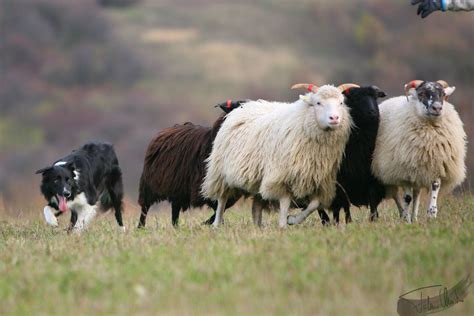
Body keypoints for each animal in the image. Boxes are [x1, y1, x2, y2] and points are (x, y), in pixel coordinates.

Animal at [201, 84, 356, 227]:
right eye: (318, 103)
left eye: (341, 103)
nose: (334, 118)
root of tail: (244, 106)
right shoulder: (281, 175)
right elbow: (285, 201)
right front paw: (282, 224)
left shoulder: (317, 180)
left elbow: (314, 204)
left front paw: (292, 220)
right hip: (220, 172)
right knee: (222, 199)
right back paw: (216, 224)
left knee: (256, 205)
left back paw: (258, 226)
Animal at [370, 79, 466, 222]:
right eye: (421, 94)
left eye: (443, 94)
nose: (437, 108)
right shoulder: (404, 172)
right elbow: (407, 198)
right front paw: (406, 219)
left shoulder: (436, 167)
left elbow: (434, 189)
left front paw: (432, 214)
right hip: (387, 173)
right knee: (396, 195)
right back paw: (403, 214)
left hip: (418, 173)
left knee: (417, 195)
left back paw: (414, 218)